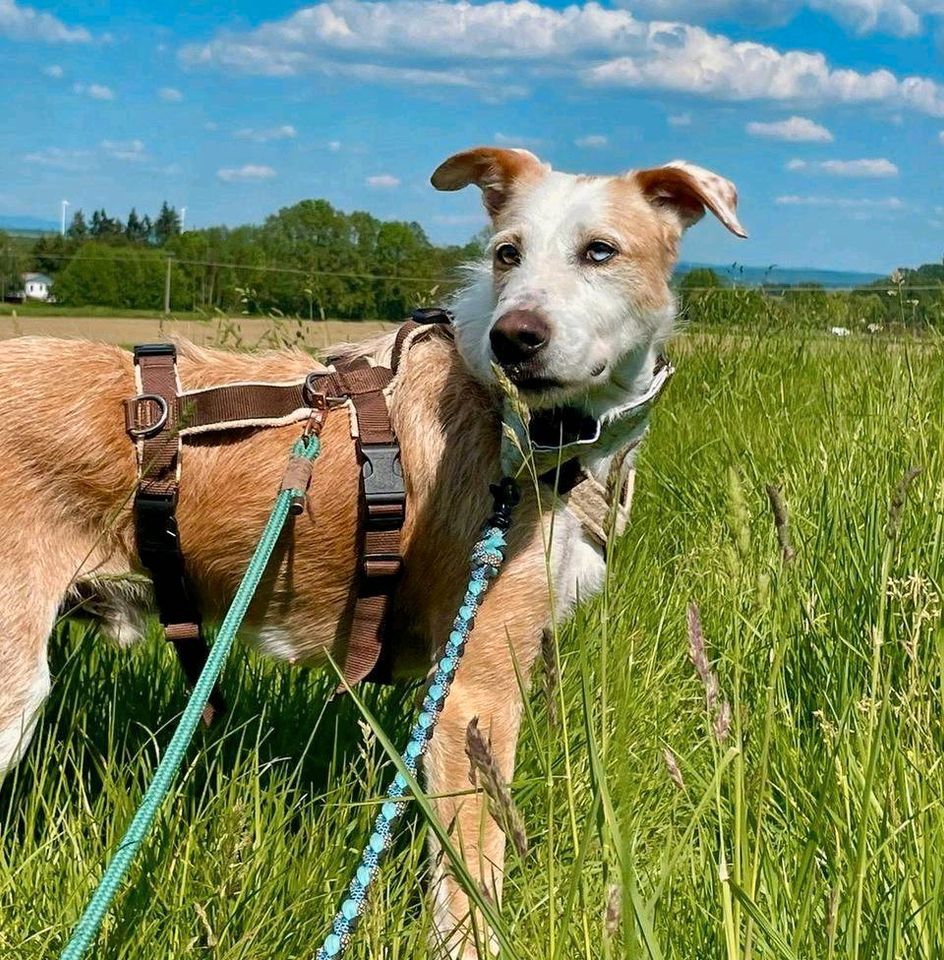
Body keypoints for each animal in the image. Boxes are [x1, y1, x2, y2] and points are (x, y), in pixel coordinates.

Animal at [0, 146, 744, 956]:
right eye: (506, 254)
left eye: (600, 252)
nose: (514, 337)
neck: (526, 429)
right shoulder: (476, 692)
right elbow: (469, 886)